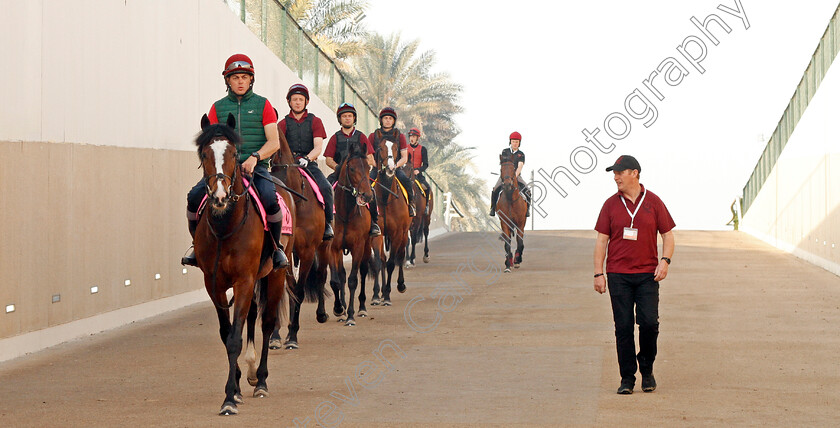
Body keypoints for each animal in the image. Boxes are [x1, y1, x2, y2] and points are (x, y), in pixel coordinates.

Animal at [193, 113, 292, 414]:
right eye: (204, 153)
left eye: (235, 154)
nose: (220, 196)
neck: (226, 226)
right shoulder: (214, 284)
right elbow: (227, 334)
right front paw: (234, 387)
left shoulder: (244, 280)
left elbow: (235, 338)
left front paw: (228, 398)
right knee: (251, 315)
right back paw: (249, 374)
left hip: (275, 275)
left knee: (267, 323)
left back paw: (261, 380)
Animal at [270, 129, 334, 350]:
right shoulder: (285, 252)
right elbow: (286, 289)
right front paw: (276, 336)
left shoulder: (306, 251)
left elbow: (298, 290)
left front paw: (292, 336)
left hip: (323, 248)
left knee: (322, 275)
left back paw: (323, 314)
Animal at [328, 142, 374, 326]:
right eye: (352, 168)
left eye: (368, 167)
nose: (367, 195)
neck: (346, 213)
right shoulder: (333, 248)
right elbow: (335, 280)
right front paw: (339, 309)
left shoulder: (358, 247)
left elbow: (353, 279)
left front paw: (351, 316)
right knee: (341, 275)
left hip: (367, 246)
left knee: (363, 271)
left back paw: (361, 308)